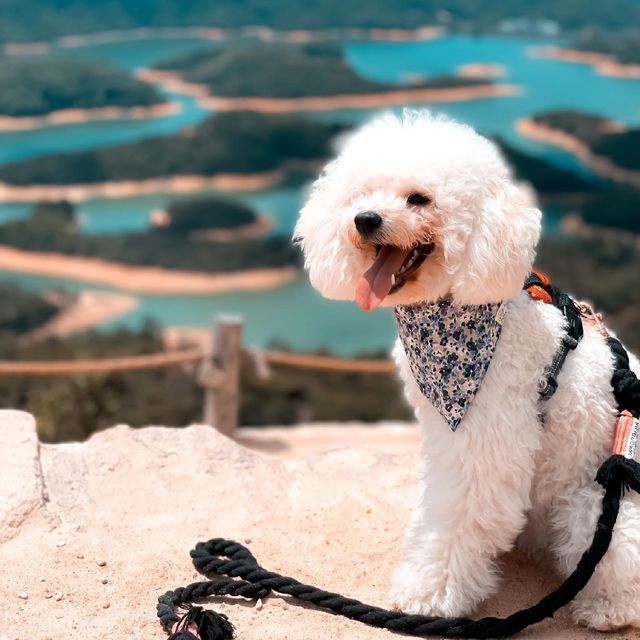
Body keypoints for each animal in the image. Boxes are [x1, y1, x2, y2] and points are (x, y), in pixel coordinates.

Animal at [294, 110, 640, 632]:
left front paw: (431, 595)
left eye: (420, 198)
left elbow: (455, 517)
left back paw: (608, 608)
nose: (364, 219)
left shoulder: (484, 441)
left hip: (598, 502)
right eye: (360, 195)